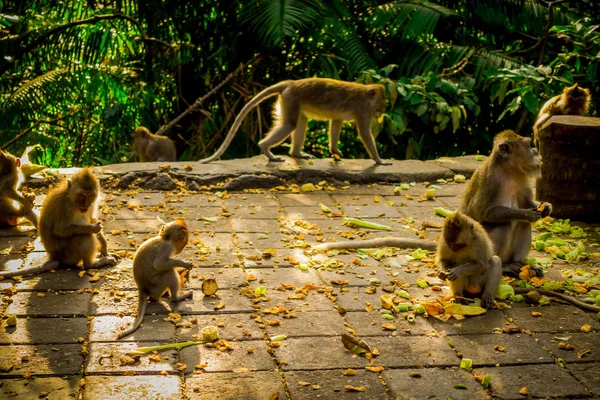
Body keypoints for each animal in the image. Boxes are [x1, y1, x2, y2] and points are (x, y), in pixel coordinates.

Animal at [199, 77, 392, 165]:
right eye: (381, 103)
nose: (380, 112)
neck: (366, 95)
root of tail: (290, 83)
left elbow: (336, 122)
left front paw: (334, 151)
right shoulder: (363, 111)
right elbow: (364, 133)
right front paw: (379, 160)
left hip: (291, 101)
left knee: (301, 121)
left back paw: (296, 154)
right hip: (290, 99)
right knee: (289, 125)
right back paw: (266, 149)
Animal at [462, 130, 552, 276]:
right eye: (528, 145)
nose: (536, 151)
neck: (508, 171)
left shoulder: (522, 178)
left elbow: (527, 202)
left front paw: (546, 207)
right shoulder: (490, 179)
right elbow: (482, 212)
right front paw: (526, 214)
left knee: (524, 225)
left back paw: (522, 264)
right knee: (503, 225)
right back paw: (503, 266)